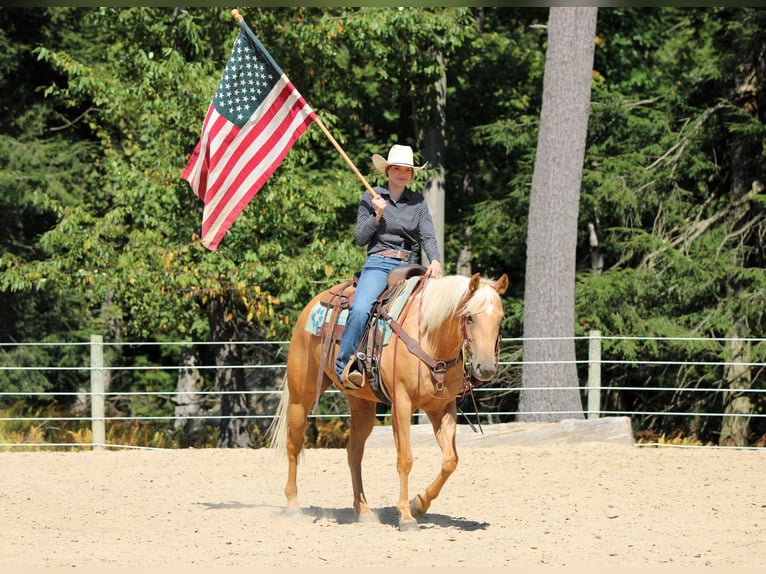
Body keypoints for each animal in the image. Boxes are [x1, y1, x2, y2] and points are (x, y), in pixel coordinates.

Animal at [269, 270, 508, 530]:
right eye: (470, 317)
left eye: (500, 319)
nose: (486, 368)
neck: (429, 339)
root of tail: (312, 305)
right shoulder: (402, 404)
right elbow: (405, 459)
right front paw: (406, 515)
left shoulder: (443, 408)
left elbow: (450, 461)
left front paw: (419, 504)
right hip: (301, 397)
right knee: (294, 444)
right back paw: (293, 505)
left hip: (361, 405)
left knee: (354, 452)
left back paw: (363, 510)